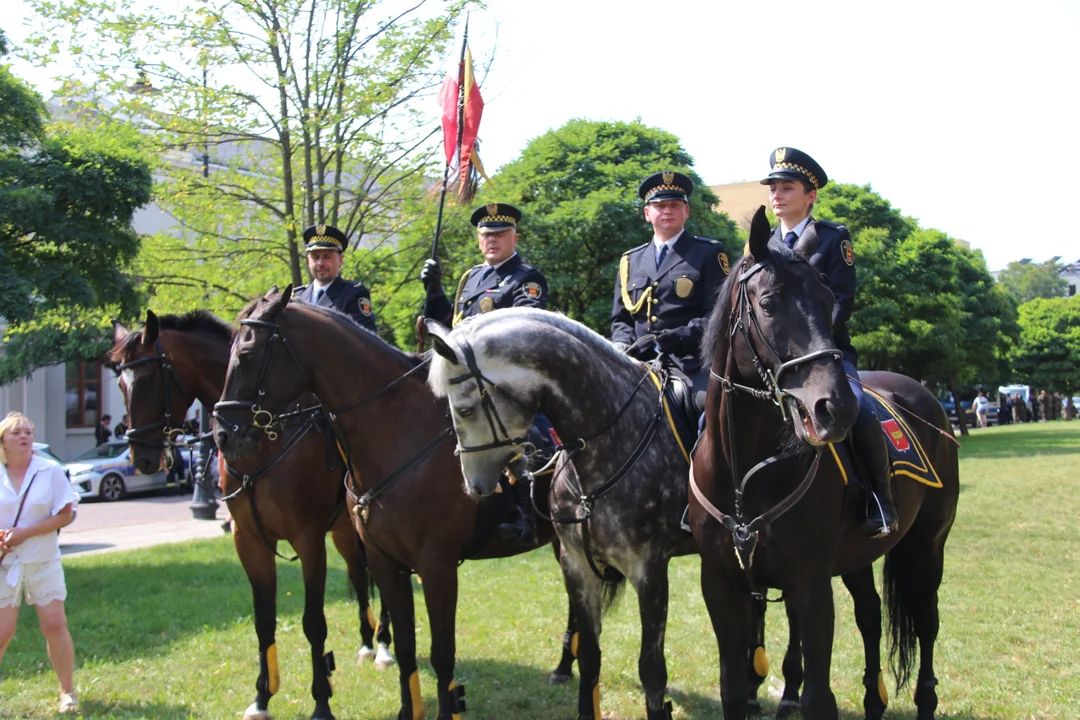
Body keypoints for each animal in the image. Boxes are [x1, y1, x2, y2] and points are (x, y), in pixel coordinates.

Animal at [108, 310, 393, 720]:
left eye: (146, 380)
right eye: (119, 382)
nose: (142, 458)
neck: (260, 440)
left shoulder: (308, 541)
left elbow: (313, 622)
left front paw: (321, 701)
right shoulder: (249, 540)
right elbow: (263, 620)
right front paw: (262, 697)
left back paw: (384, 646)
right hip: (342, 531)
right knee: (358, 574)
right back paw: (368, 643)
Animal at [212, 289, 583, 720]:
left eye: (247, 353)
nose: (223, 435)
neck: (397, 431)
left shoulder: (435, 564)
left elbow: (442, 652)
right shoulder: (384, 560)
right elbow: (407, 647)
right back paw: (563, 666)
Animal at [425, 310, 695, 720]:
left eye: (465, 409)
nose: (475, 486)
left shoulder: (649, 571)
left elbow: (652, 672)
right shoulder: (577, 566)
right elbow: (590, 657)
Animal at [686, 207, 959, 720]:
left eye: (830, 298)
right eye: (769, 303)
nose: (836, 407)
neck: (744, 473)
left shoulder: (809, 585)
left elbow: (817, 696)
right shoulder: (721, 584)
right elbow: (734, 688)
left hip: (927, 544)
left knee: (926, 619)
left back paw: (925, 700)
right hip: (857, 556)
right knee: (871, 616)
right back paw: (874, 700)